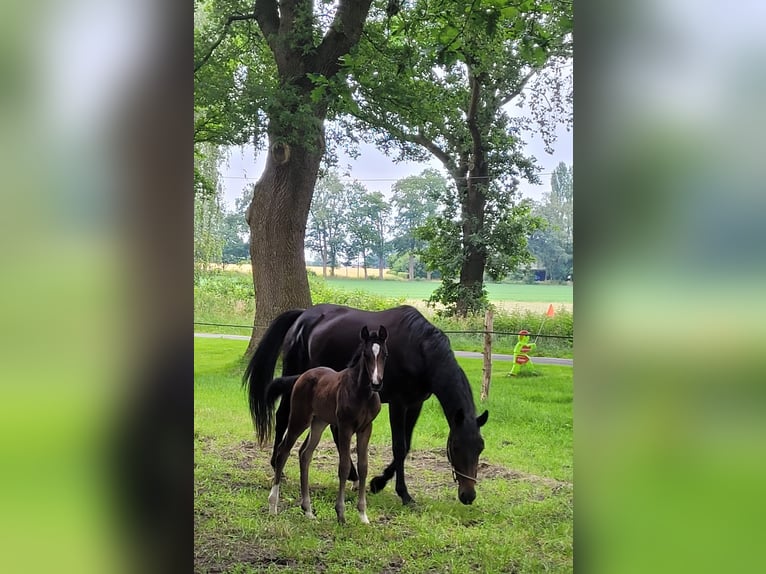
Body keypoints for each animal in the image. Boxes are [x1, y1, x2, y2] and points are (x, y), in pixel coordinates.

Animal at [270, 326, 390, 524]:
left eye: (385, 354)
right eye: (365, 355)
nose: (376, 383)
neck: (362, 394)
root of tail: (303, 375)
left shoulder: (366, 428)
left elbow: (363, 467)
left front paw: (363, 515)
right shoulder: (345, 427)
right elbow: (344, 467)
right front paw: (340, 513)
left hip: (319, 422)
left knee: (305, 454)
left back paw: (308, 510)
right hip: (299, 419)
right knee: (283, 452)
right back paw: (273, 504)